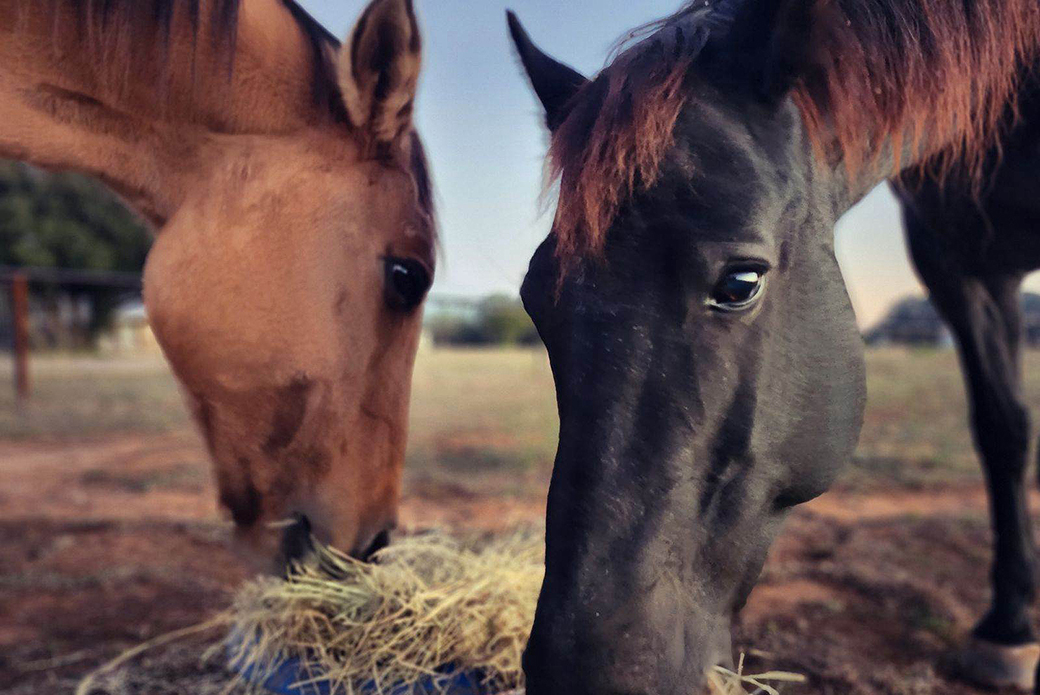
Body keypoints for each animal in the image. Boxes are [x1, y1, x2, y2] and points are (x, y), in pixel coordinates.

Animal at [507, 0, 1040, 690]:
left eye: (741, 282)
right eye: (534, 297)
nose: (582, 673)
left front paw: (1012, 630)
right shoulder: (958, 262)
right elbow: (1003, 430)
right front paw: (1009, 627)